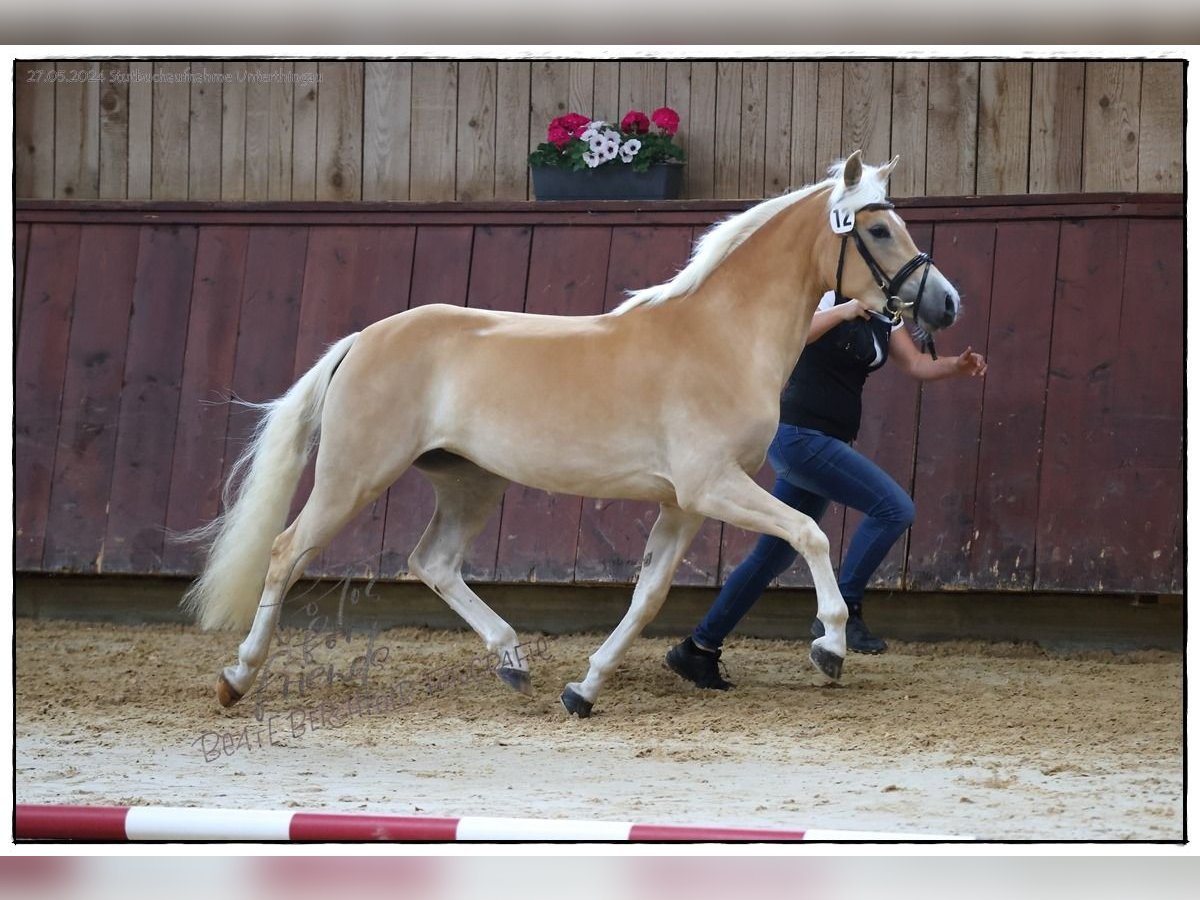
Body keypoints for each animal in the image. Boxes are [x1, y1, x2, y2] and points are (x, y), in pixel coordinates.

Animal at [184, 153, 955, 720]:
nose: (945, 304)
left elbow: (648, 597)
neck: (720, 337)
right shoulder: (713, 485)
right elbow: (810, 533)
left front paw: (583, 690)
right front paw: (831, 645)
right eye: (878, 231)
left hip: (469, 481)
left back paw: (512, 662)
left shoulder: (684, 503)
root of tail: (363, 339)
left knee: (433, 561)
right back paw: (236, 678)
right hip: (356, 474)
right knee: (286, 551)